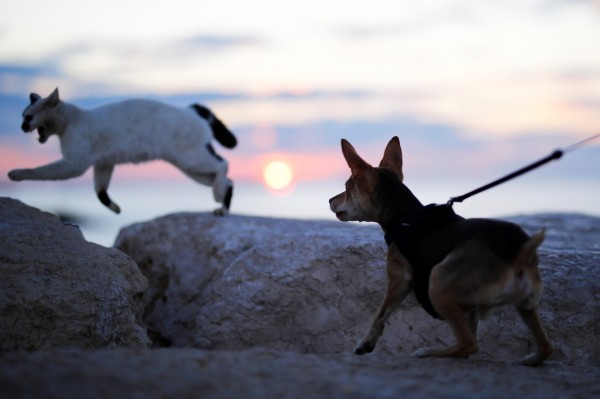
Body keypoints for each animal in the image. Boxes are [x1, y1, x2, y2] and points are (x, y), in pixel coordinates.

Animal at [8, 88, 237, 216]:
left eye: (28, 117)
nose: (21, 127)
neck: (71, 120)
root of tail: (190, 108)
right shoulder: (103, 163)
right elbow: (100, 191)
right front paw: (115, 208)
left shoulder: (74, 164)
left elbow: (39, 171)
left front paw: (15, 174)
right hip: (193, 169)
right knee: (228, 180)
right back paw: (222, 205)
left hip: (192, 159)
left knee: (224, 165)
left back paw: (219, 199)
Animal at [328, 137, 552, 366]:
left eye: (347, 187)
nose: (330, 200)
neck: (405, 215)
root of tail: (518, 253)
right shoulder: (470, 308)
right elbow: (471, 328)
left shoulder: (400, 279)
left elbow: (381, 313)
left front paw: (365, 343)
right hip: (526, 304)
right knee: (544, 347)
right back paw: (530, 358)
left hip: (437, 282)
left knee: (468, 344)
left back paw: (427, 352)